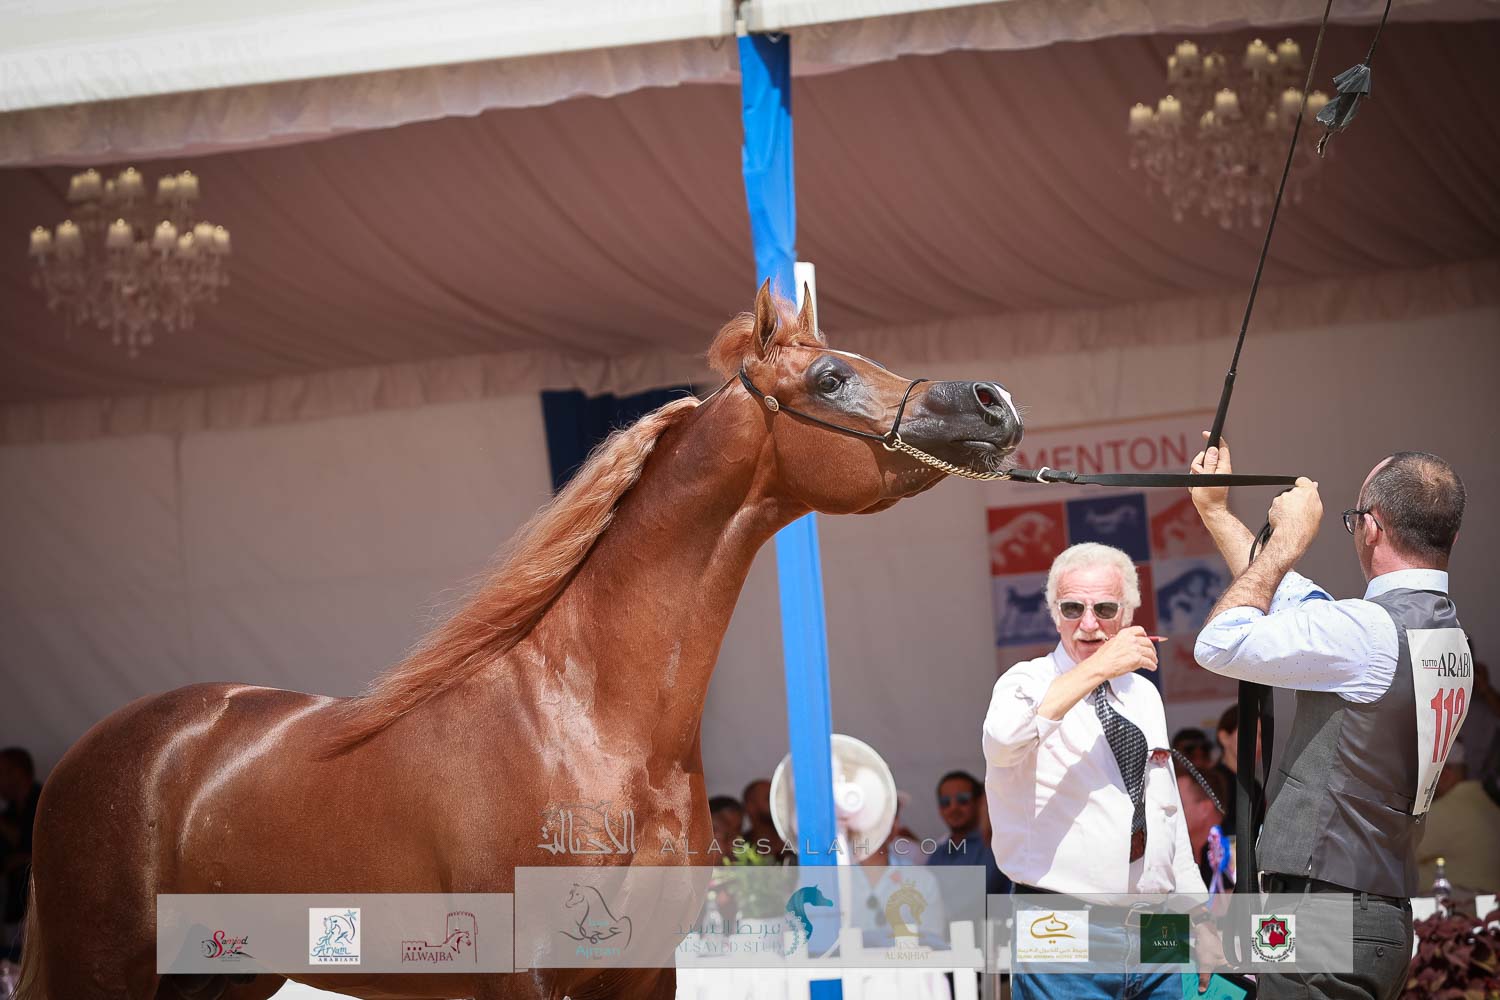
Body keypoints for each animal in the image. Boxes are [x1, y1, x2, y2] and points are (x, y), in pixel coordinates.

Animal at [15, 279, 1021, 1000]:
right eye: (829, 378)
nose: (993, 402)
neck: (589, 722)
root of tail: (94, 753)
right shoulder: (522, 974)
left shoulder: (643, 974)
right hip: (103, 969)